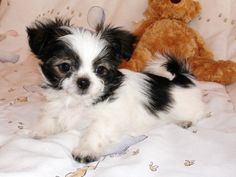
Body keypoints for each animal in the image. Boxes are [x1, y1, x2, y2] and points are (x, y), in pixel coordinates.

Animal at [24, 18, 205, 163]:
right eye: (65, 67)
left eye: (100, 70)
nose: (84, 81)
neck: (79, 102)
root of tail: (182, 77)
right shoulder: (56, 107)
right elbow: (49, 119)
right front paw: (38, 131)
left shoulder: (107, 118)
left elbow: (94, 132)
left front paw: (86, 150)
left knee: (200, 113)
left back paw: (185, 121)